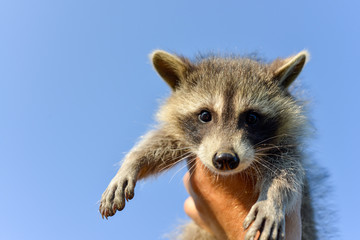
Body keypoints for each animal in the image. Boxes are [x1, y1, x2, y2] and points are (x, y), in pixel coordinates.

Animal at [100, 49, 316, 239]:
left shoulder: (285, 146)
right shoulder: (185, 138)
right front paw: (132, 163)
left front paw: (272, 199)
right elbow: (163, 143)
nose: (225, 158)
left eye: (252, 118)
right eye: (205, 115)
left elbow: (287, 172)